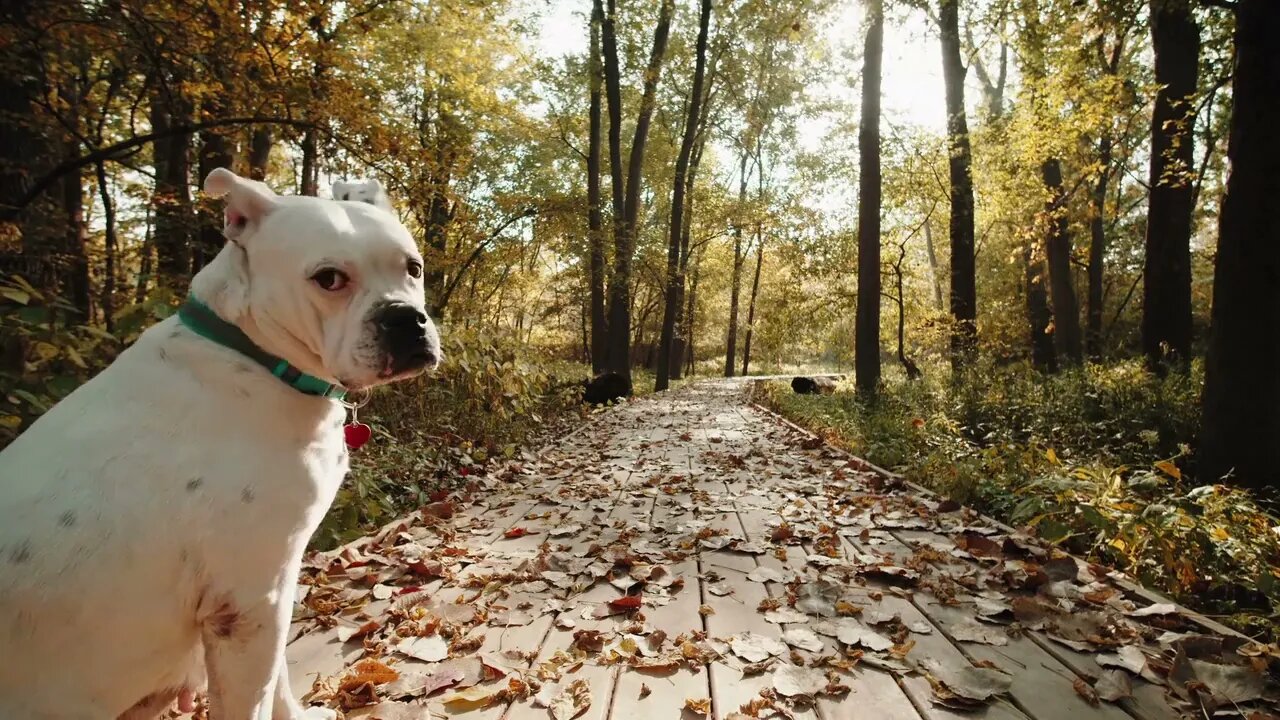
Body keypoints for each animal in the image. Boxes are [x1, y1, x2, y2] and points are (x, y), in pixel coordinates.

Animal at [0, 165, 440, 712]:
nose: (405, 318)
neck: (251, 353)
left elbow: (278, 683)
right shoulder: (248, 604)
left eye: (413, 268)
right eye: (329, 279)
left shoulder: (276, 584)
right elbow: (255, 698)